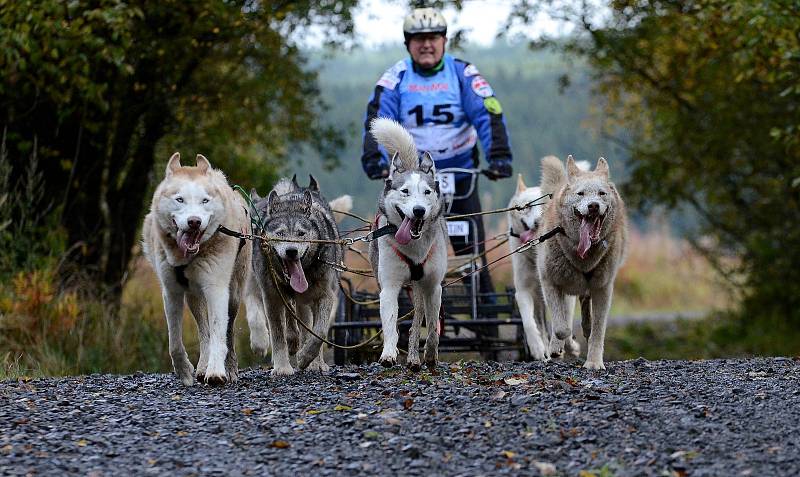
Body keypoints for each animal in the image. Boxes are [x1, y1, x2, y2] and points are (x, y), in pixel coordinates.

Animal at [142, 154, 250, 384]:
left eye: (205, 201)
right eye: (180, 199)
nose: (194, 222)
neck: (187, 258)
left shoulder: (216, 289)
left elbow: (219, 334)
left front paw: (216, 371)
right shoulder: (171, 292)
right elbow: (175, 342)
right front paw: (184, 370)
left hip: (234, 294)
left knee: (228, 333)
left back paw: (229, 368)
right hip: (194, 299)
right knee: (204, 331)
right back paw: (202, 367)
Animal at [247, 175, 340, 376]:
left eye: (301, 233)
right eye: (280, 233)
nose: (291, 251)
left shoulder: (325, 295)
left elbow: (319, 332)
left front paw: (307, 358)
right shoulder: (272, 297)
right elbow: (277, 334)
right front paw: (282, 367)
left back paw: (315, 360)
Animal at [368, 117, 450, 370]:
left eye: (427, 192)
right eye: (405, 191)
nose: (419, 210)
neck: (414, 249)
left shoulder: (433, 286)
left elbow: (432, 328)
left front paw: (431, 355)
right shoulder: (389, 287)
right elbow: (390, 325)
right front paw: (389, 353)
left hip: (420, 290)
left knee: (417, 323)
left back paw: (415, 357)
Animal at [536, 154, 628, 370]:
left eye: (602, 193)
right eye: (581, 193)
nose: (593, 205)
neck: (582, 256)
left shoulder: (603, 288)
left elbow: (598, 330)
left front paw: (594, 362)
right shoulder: (549, 282)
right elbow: (562, 327)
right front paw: (560, 345)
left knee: (586, 309)